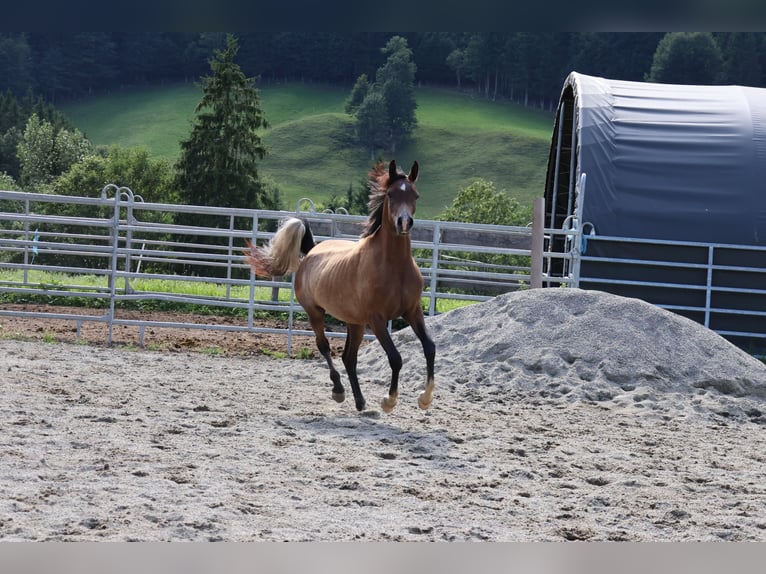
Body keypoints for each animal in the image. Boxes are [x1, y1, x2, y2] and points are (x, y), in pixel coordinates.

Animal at [245, 160, 435, 413]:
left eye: (415, 195)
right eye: (391, 194)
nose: (404, 222)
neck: (394, 267)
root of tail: (312, 251)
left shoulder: (412, 311)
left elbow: (430, 347)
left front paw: (425, 398)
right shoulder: (377, 319)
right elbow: (395, 358)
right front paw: (389, 401)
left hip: (354, 321)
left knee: (348, 357)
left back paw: (360, 401)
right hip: (316, 313)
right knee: (324, 346)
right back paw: (339, 390)